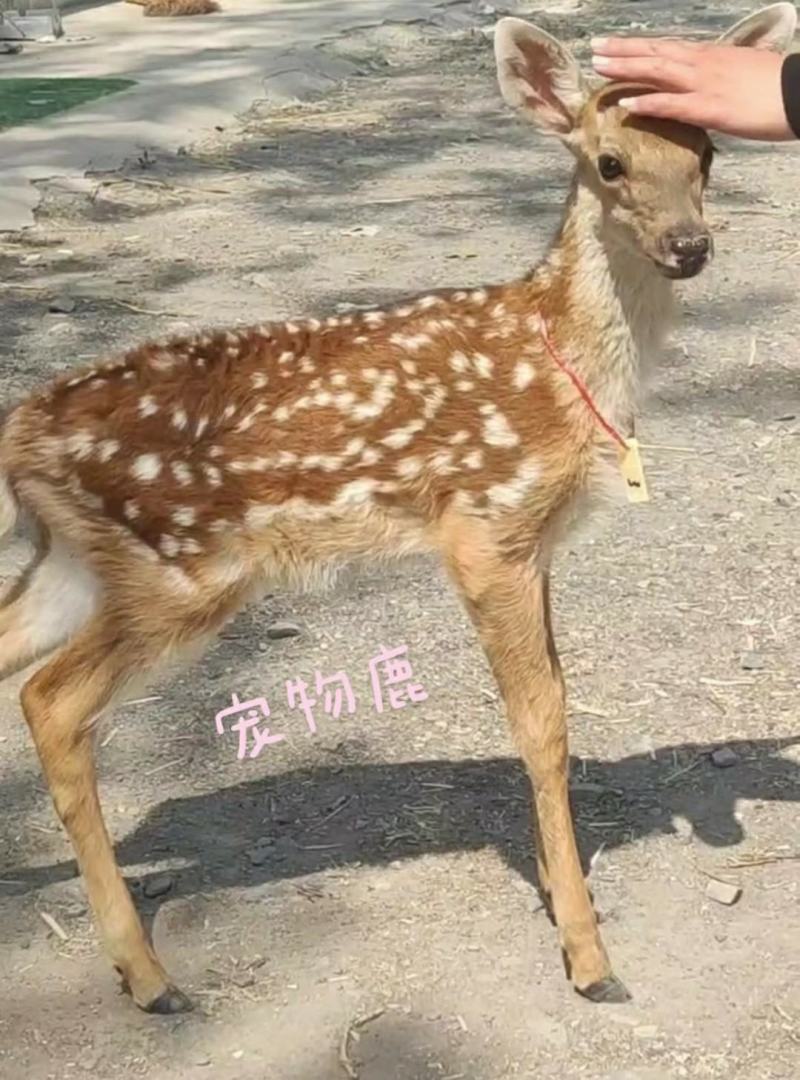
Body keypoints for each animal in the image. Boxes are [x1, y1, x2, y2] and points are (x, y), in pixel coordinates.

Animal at [0, 4, 794, 1015]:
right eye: (609, 162)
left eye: (708, 153)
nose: (690, 247)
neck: (562, 361)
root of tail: (17, 434)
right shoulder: (485, 523)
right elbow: (541, 722)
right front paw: (588, 955)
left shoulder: (535, 543)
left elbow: (555, 698)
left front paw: (566, 904)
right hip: (180, 565)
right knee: (52, 699)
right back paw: (150, 976)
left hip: (76, 558)